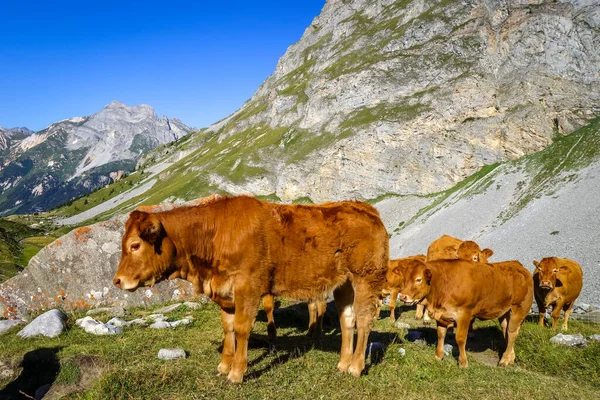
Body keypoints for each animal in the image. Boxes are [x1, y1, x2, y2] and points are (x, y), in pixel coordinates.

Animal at [113, 195, 390, 382]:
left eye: (135, 245)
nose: (117, 281)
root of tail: (365, 208)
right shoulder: (224, 291)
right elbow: (228, 328)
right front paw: (224, 365)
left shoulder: (247, 286)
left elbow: (242, 328)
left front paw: (236, 373)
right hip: (343, 284)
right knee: (347, 320)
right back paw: (342, 364)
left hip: (366, 277)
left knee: (364, 320)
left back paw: (356, 367)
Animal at [400, 260, 532, 368]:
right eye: (404, 279)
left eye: (418, 279)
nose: (402, 296)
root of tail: (517, 265)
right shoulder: (442, 315)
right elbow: (440, 335)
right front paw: (438, 356)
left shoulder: (464, 314)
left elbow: (460, 338)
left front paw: (463, 362)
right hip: (504, 313)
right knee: (507, 332)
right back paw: (511, 358)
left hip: (518, 309)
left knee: (512, 334)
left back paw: (504, 360)